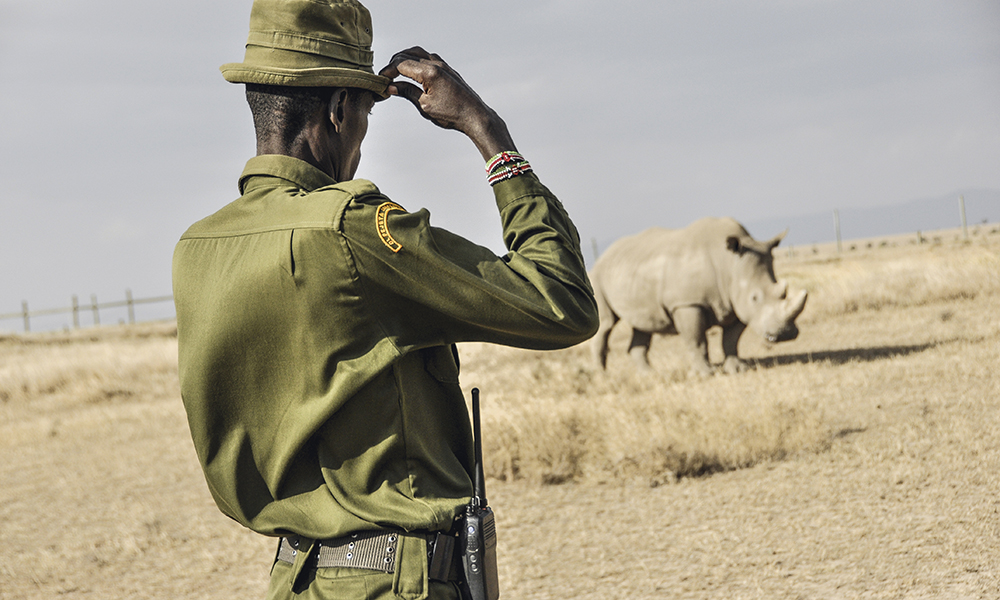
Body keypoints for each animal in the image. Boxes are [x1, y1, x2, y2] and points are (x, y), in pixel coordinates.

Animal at [588, 216, 808, 376]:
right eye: (755, 298)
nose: (785, 335)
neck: (729, 264)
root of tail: (604, 256)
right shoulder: (687, 303)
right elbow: (697, 340)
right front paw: (705, 374)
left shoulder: (737, 303)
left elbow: (731, 340)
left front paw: (738, 369)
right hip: (596, 277)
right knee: (606, 323)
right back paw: (603, 377)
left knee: (643, 325)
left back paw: (649, 375)